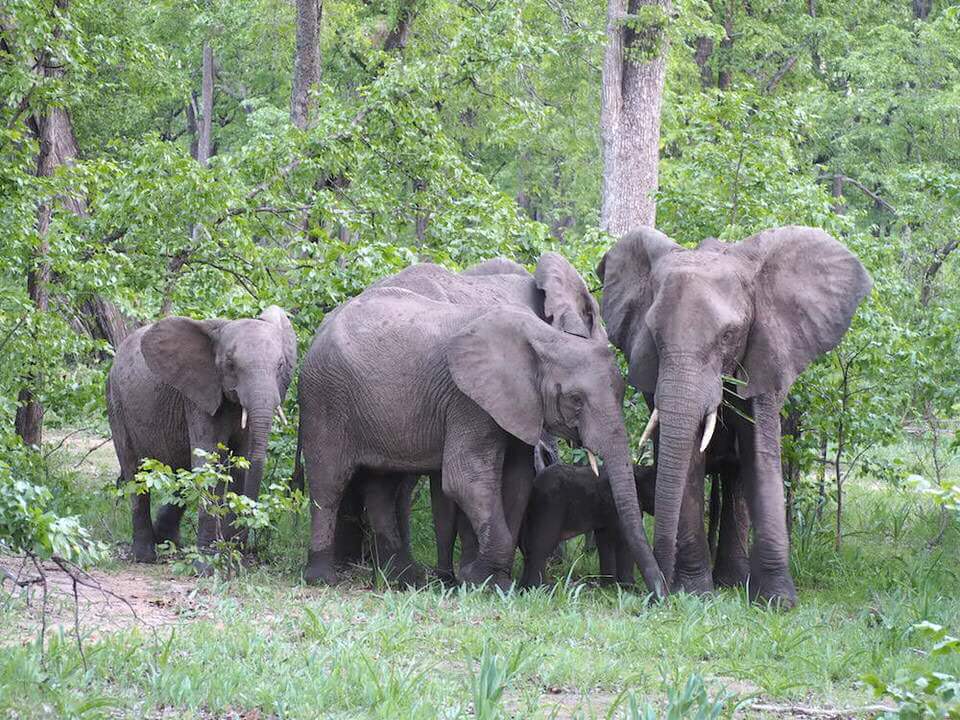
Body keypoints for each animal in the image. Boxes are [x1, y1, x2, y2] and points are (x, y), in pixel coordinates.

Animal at [107, 306, 297, 563]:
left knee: (182, 472)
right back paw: (146, 555)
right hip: (116, 401)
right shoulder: (199, 398)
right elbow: (208, 461)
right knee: (133, 471)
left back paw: (169, 542)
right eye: (230, 364)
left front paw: (230, 556)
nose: (241, 547)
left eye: (280, 366)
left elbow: (241, 463)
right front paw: (208, 562)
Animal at [297, 286, 664, 595]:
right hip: (325, 397)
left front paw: (487, 579)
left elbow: (516, 481)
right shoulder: (467, 399)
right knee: (329, 483)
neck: (545, 339)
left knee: (382, 487)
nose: (659, 596)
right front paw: (484, 582)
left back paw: (404, 579)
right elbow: (465, 478)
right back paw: (323, 579)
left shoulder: (516, 404)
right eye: (575, 400)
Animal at [597, 226, 871, 606]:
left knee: (737, 481)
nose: (658, 592)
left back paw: (732, 580)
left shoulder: (765, 352)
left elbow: (760, 453)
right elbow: (689, 463)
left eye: (729, 335)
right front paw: (695, 594)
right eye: (653, 334)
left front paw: (778, 602)